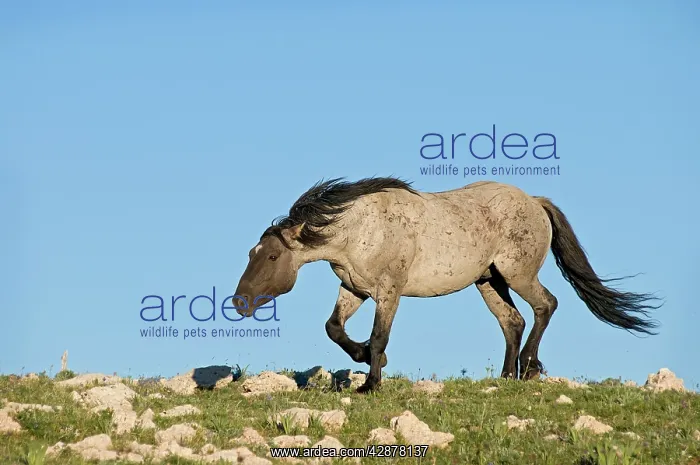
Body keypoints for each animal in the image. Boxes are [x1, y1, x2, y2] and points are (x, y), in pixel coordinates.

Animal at [232, 177, 661, 393]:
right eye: (251, 253)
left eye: (272, 257)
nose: (239, 302)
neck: (360, 227)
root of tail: (535, 201)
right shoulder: (354, 288)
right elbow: (335, 328)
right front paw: (366, 360)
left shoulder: (388, 291)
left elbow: (380, 335)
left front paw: (371, 382)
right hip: (489, 281)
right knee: (513, 322)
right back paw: (505, 377)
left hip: (518, 274)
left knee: (545, 306)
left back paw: (528, 369)